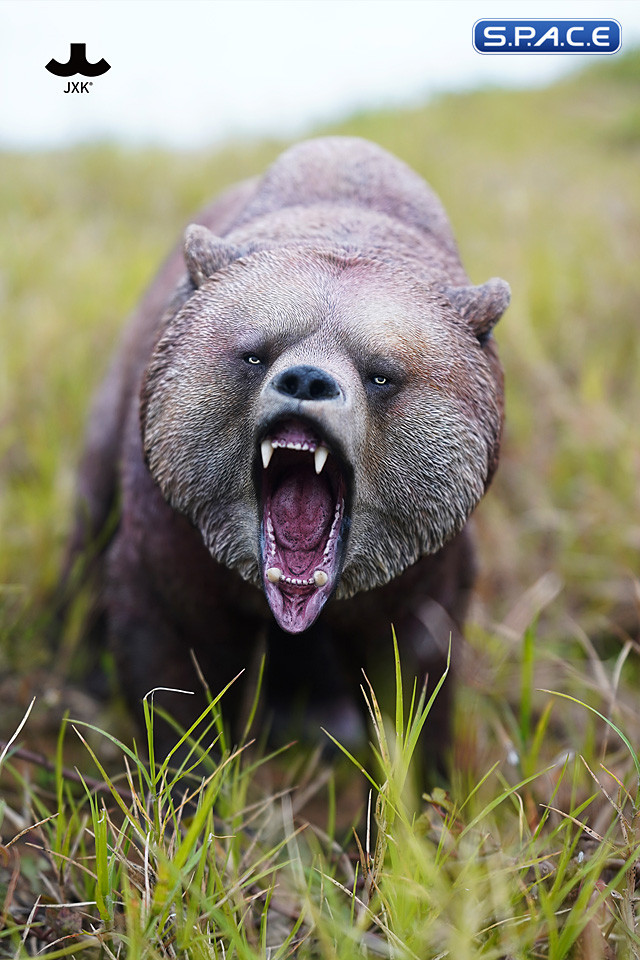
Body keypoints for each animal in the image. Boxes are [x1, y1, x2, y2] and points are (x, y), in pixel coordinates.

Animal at [65, 136, 508, 776]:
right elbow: (172, 669)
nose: (306, 379)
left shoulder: (428, 573)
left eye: (380, 373)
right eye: (255, 353)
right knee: (89, 522)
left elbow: (415, 684)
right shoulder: (173, 539)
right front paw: (186, 778)